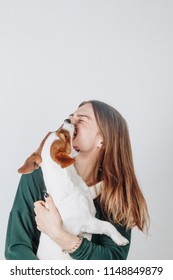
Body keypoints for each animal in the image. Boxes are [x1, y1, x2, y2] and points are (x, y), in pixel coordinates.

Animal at [18, 119, 128, 260]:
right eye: (65, 136)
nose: (68, 119)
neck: (72, 182)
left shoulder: (89, 192)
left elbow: (100, 184)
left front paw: (117, 180)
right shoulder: (88, 222)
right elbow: (107, 225)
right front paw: (120, 239)